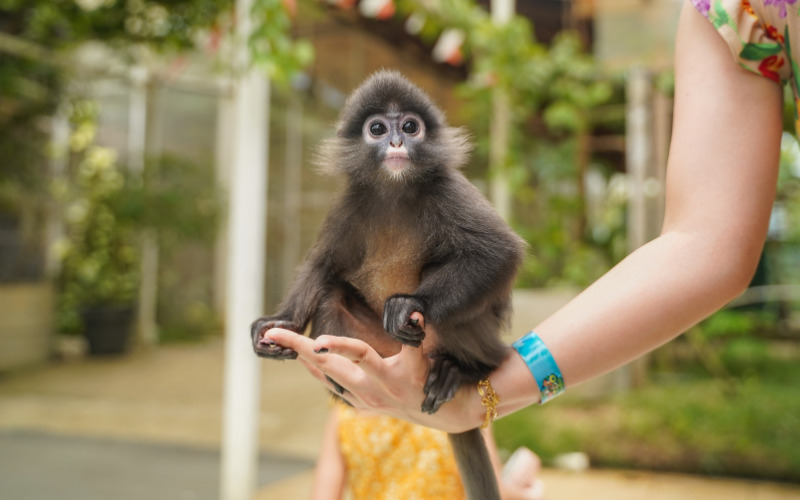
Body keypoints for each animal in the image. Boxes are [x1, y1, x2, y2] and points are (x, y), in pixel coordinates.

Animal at [251, 70, 526, 500]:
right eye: (377, 129)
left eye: (410, 127)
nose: (397, 142)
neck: (395, 190)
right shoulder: (350, 205)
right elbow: (322, 266)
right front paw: (281, 324)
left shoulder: (449, 189)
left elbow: (499, 253)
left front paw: (410, 303)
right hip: (379, 345)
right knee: (331, 295)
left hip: (471, 337)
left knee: (460, 325)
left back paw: (459, 370)